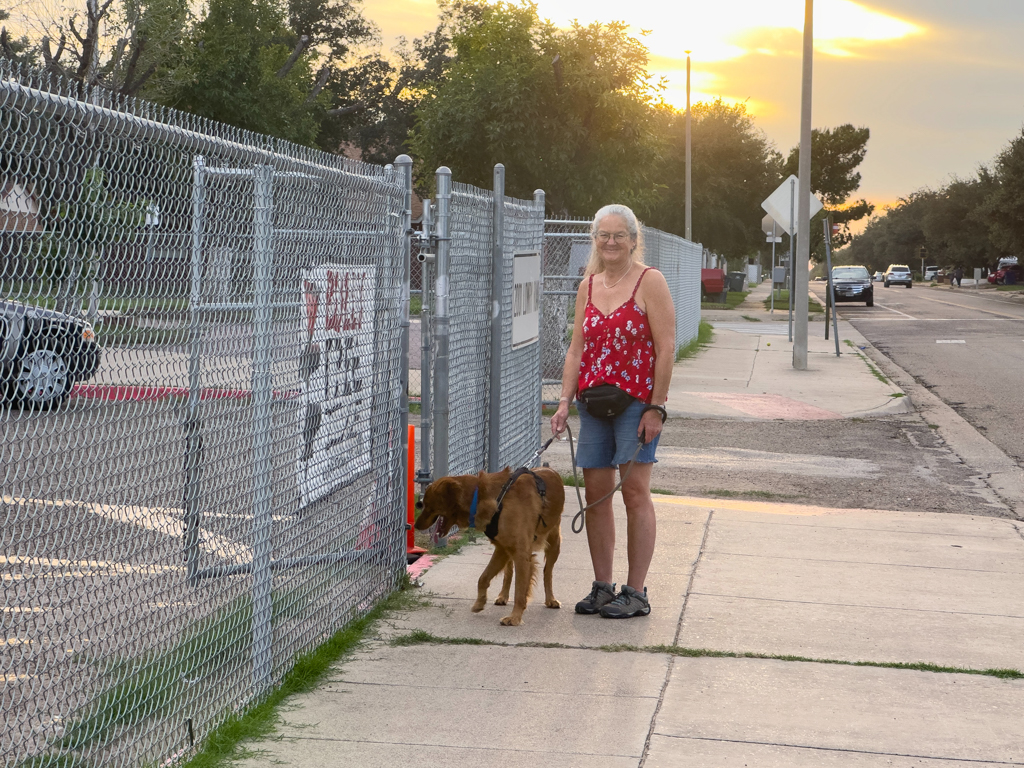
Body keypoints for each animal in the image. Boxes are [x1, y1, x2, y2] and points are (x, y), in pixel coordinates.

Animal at [411, 468, 565, 626]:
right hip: (508, 549)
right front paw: (480, 603)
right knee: (509, 572)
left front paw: (515, 618)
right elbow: (483, 578)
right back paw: (503, 596)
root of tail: (550, 470)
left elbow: (520, 591)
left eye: (427, 505)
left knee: (547, 572)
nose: (415, 526)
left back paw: (551, 599)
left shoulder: (521, 554)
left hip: (554, 544)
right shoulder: (502, 549)